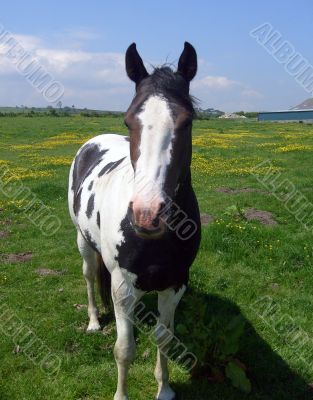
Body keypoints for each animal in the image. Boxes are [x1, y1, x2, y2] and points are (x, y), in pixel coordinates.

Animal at [67, 42, 200, 398]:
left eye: (187, 121)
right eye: (129, 121)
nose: (147, 213)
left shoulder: (175, 283)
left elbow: (164, 339)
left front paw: (164, 389)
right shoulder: (122, 287)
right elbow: (123, 350)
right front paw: (121, 394)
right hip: (83, 243)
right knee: (89, 277)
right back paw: (94, 321)